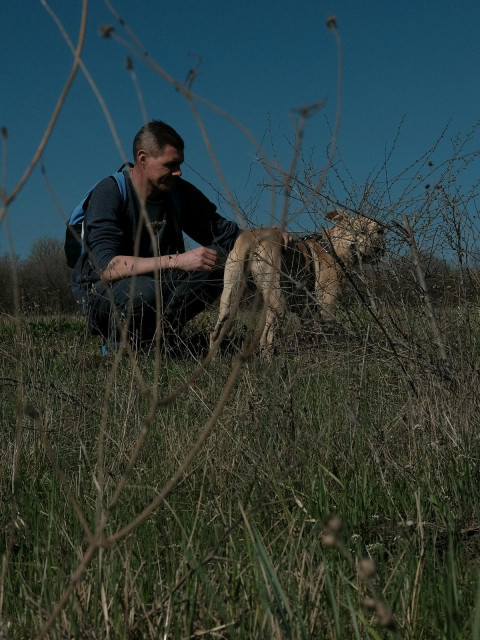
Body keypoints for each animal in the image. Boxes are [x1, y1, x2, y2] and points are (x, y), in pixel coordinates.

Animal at [210, 212, 386, 358]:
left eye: (380, 231)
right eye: (361, 231)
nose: (379, 248)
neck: (332, 247)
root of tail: (252, 237)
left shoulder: (306, 312)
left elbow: (311, 335)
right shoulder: (326, 308)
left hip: (230, 296)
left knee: (216, 332)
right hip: (278, 303)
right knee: (266, 340)